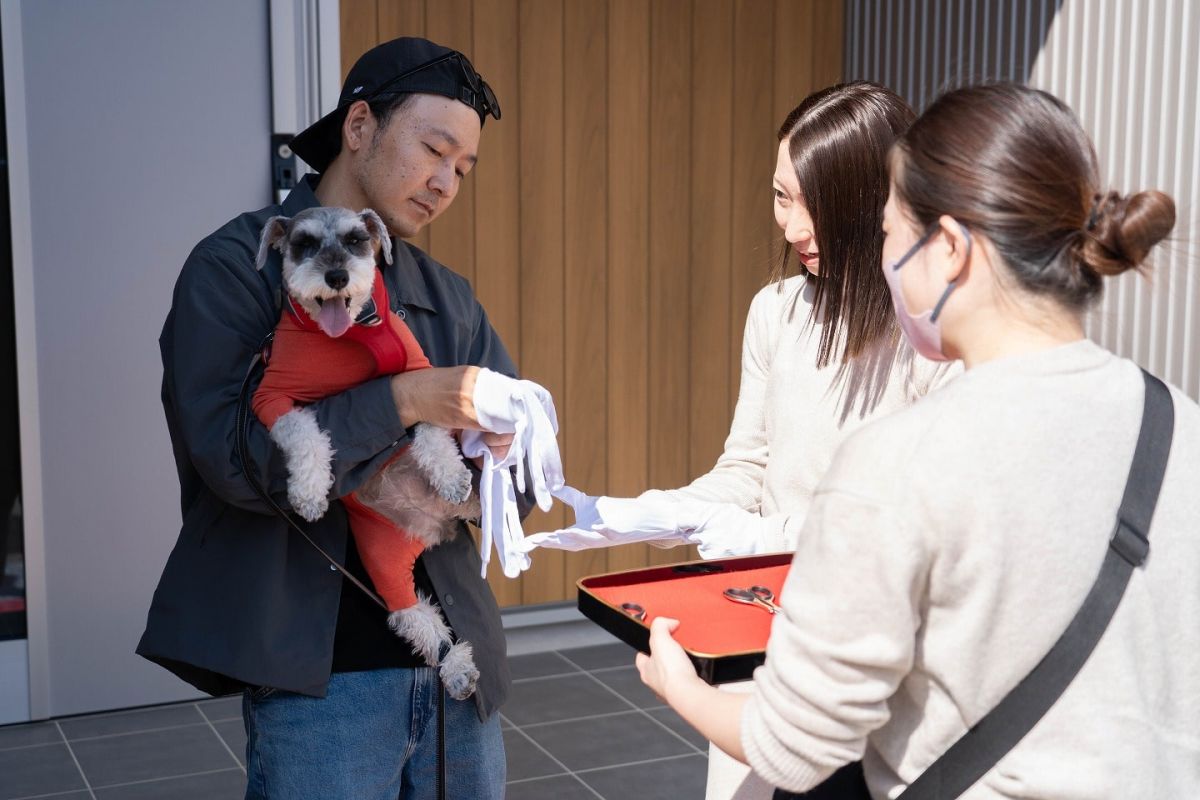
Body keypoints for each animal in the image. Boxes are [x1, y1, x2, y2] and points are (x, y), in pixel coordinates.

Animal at [253, 206, 482, 700]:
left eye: (356, 239)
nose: (336, 275)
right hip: (383, 560)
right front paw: (308, 493)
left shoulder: (419, 376)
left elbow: (432, 435)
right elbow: (305, 432)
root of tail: (433, 525)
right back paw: (455, 666)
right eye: (304, 243)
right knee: (416, 618)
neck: (347, 336)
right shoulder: (271, 399)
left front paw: (451, 474)